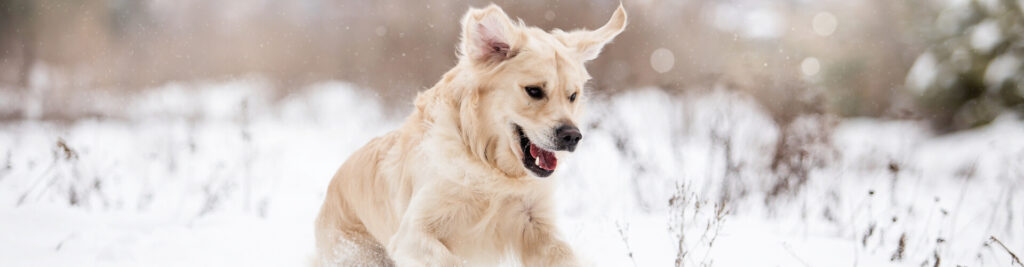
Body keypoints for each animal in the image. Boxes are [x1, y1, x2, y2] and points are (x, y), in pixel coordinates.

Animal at [315, 4, 626, 265]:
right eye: (534, 91)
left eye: (573, 95)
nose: (572, 136)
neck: (491, 166)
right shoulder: (412, 233)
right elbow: (449, 259)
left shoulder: (536, 224)